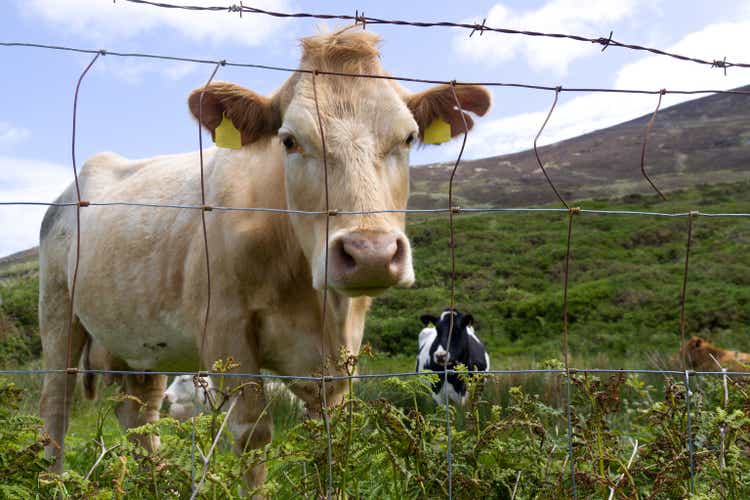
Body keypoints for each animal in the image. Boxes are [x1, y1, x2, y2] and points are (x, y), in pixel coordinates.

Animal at [38, 25, 494, 490]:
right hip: (57, 312)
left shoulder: (341, 353)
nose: (370, 254)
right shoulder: (225, 329)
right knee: (55, 407)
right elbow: (252, 433)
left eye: (407, 137)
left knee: (139, 416)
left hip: (142, 347)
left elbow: (329, 436)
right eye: (289, 140)